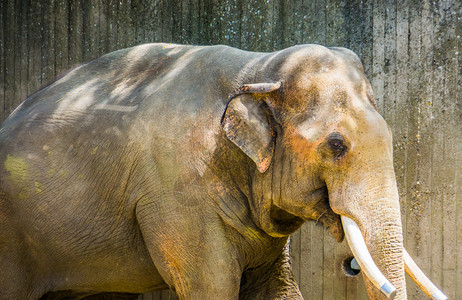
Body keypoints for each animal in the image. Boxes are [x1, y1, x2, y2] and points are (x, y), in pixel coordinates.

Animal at [0, 42, 448, 300]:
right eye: (336, 146)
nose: (352, 267)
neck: (258, 70)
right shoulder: (175, 194)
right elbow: (212, 286)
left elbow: (276, 288)